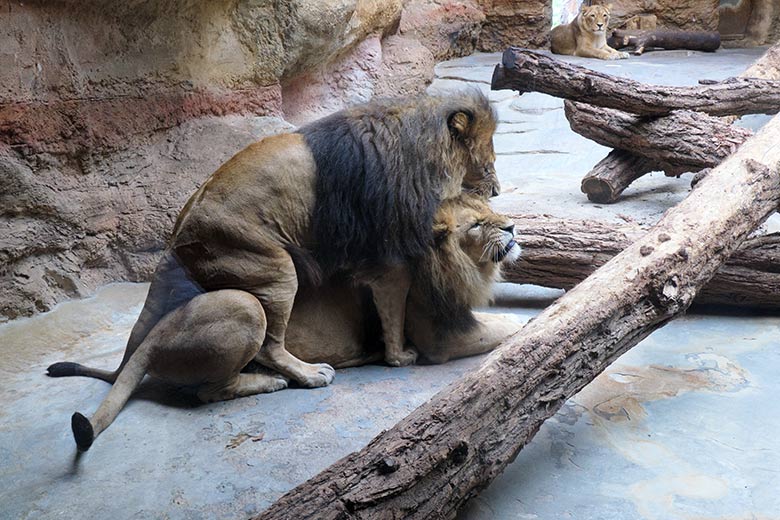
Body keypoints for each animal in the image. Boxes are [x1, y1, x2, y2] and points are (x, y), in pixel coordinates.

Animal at [48, 91, 512, 448]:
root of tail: (176, 233)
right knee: (262, 350)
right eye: (489, 156)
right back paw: (302, 376)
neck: (416, 143)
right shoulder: (388, 258)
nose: (497, 189)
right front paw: (399, 356)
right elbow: (394, 313)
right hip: (268, 267)